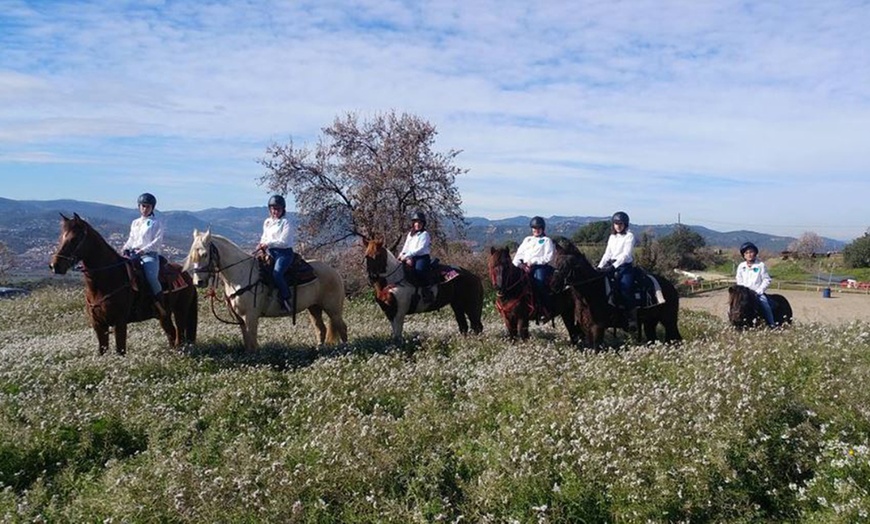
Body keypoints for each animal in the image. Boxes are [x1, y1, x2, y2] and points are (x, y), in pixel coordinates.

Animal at [51, 213, 201, 356]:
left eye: (74, 239)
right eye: (60, 237)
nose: (55, 265)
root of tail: (187, 275)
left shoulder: (120, 322)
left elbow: (120, 350)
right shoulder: (98, 324)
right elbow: (102, 351)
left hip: (180, 311)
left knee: (179, 335)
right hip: (164, 315)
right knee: (171, 333)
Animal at [184, 230, 348, 350]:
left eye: (204, 254)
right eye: (192, 255)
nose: (198, 282)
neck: (240, 275)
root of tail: (334, 271)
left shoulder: (250, 317)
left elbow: (253, 343)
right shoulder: (240, 319)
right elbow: (247, 343)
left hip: (333, 309)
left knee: (342, 327)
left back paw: (345, 351)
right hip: (314, 308)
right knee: (321, 329)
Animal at [552, 239, 680, 350]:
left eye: (570, 263)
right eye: (556, 261)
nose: (554, 284)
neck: (593, 291)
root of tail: (670, 286)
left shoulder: (597, 327)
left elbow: (596, 349)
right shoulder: (586, 327)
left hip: (669, 320)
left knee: (676, 338)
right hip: (650, 322)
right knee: (653, 339)